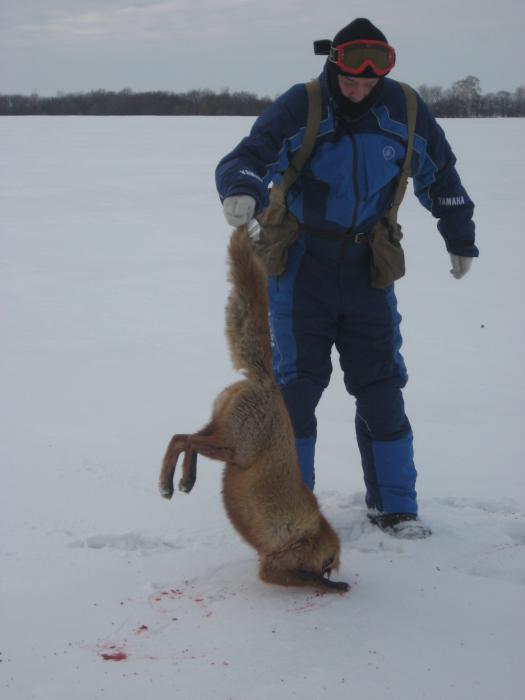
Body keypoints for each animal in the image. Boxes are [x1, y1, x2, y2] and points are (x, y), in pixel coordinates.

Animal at [159, 225, 349, 592]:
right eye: (328, 567)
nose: (330, 573)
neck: (312, 533)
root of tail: (268, 381)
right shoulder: (272, 566)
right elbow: (306, 580)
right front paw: (335, 587)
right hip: (234, 448)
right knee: (184, 440)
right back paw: (173, 482)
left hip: (221, 436)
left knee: (181, 437)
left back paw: (182, 480)